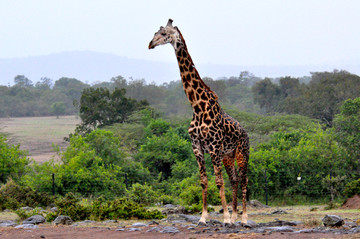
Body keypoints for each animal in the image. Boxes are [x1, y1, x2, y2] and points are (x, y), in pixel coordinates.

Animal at [149, 19, 250, 226]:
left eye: (163, 34)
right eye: (156, 32)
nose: (150, 44)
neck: (197, 107)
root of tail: (246, 133)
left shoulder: (214, 148)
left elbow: (218, 182)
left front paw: (225, 217)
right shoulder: (197, 147)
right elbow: (204, 181)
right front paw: (204, 217)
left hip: (242, 153)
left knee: (244, 180)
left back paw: (243, 218)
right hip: (228, 156)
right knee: (235, 179)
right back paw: (235, 216)